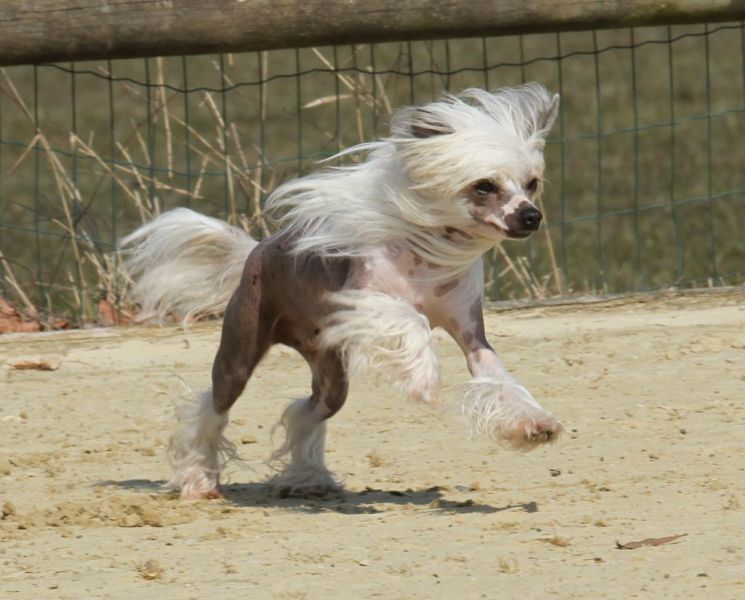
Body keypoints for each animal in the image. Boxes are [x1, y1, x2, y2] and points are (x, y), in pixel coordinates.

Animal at [121, 83, 563, 500]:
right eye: (484, 186)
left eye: (531, 184)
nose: (531, 216)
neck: (429, 252)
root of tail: (256, 251)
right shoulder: (364, 303)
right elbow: (411, 319)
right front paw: (424, 382)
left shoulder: (471, 334)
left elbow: (497, 377)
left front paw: (534, 423)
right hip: (240, 349)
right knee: (212, 408)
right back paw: (199, 481)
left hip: (330, 370)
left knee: (308, 412)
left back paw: (308, 479)